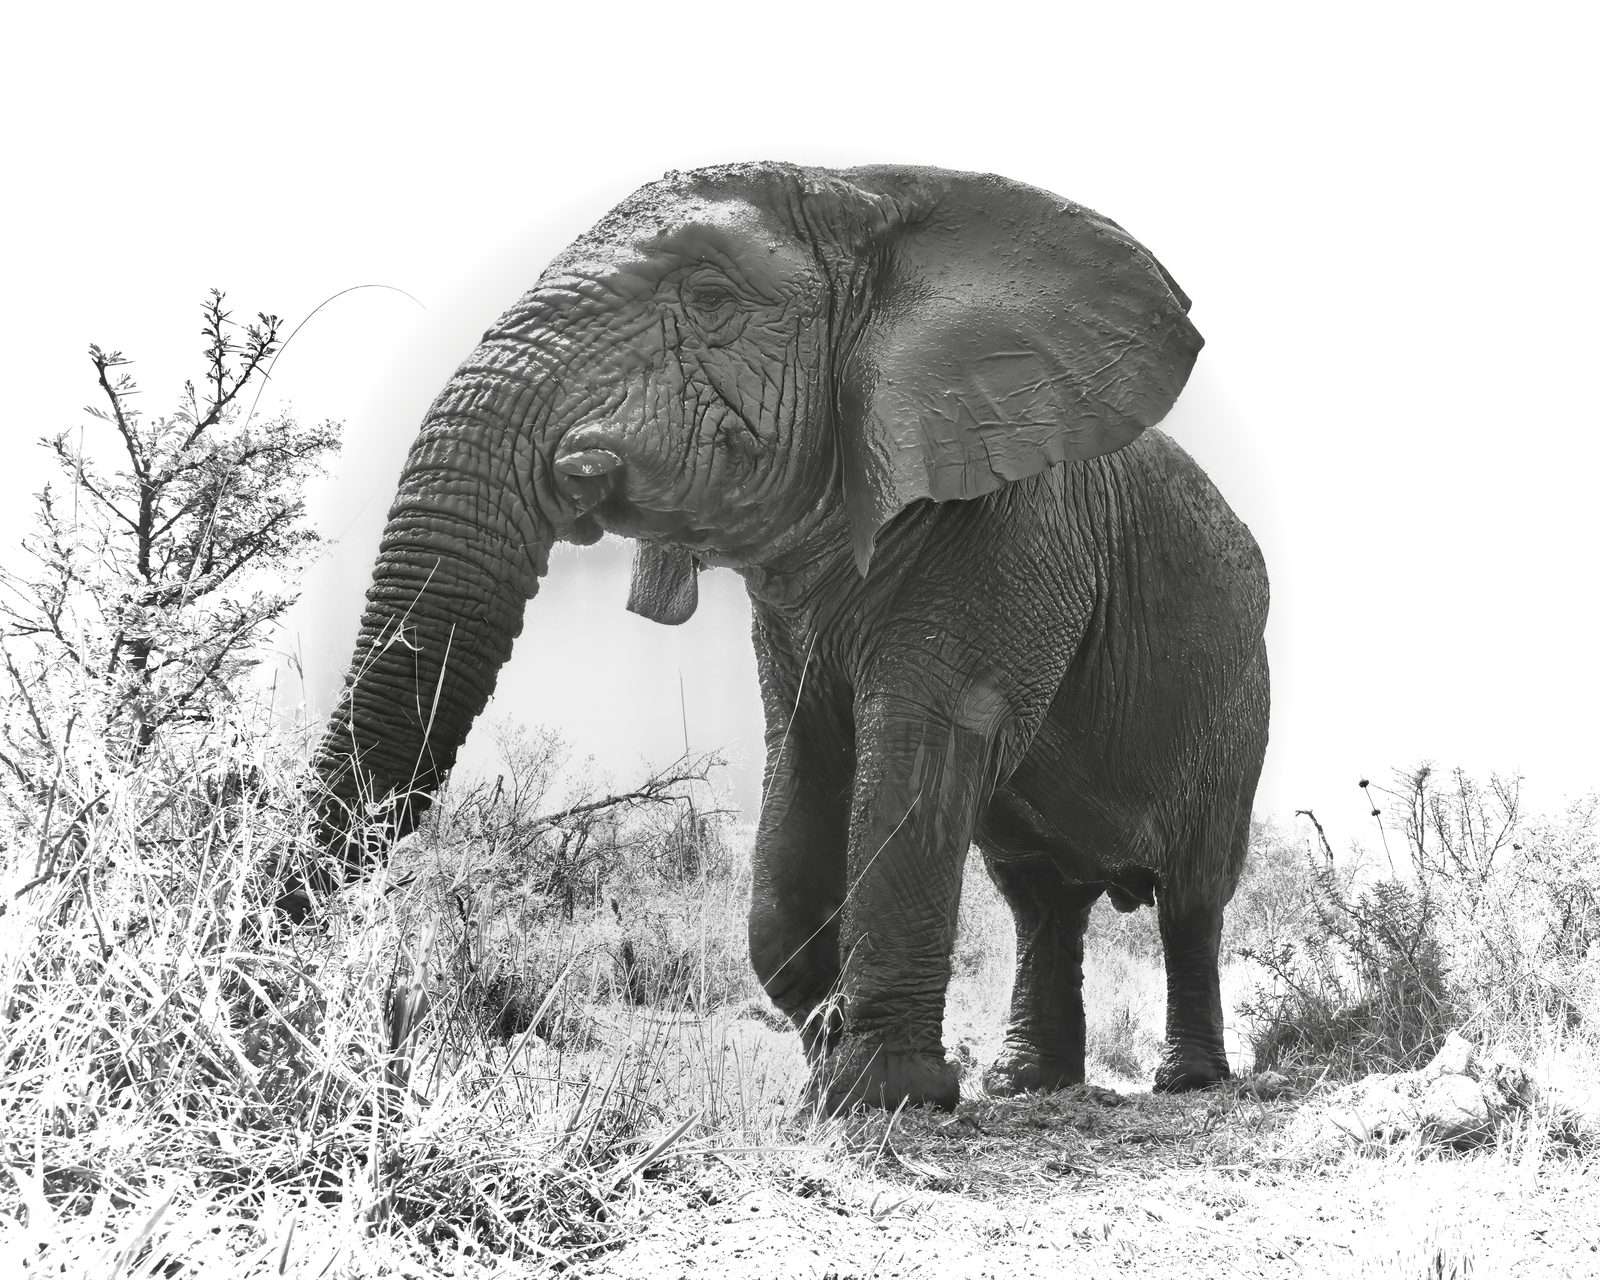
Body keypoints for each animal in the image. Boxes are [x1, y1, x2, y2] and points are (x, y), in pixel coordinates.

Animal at [309, 162, 1270, 1112]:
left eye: (708, 297)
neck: (873, 193)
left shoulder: (1012, 536)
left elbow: (922, 751)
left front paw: (880, 1091)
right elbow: (802, 764)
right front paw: (827, 1057)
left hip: (1238, 699)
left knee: (1191, 897)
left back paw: (1187, 1080)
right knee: (1040, 899)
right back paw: (1028, 1083)